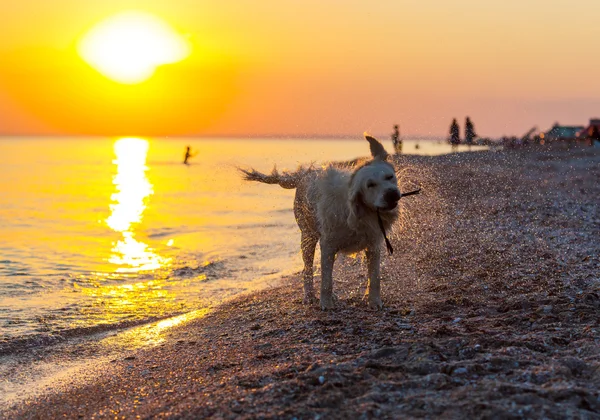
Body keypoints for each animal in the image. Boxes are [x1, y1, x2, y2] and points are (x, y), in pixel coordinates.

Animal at [238, 136, 398, 310]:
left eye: (390, 177)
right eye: (370, 185)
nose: (392, 194)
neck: (358, 211)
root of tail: (303, 175)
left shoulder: (373, 244)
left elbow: (374, 278)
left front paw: (375, 302)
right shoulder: (327, 245)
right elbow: (326, 280)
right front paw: (326, 304)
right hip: (307, 235)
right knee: (307, 269)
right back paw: (309, 296)